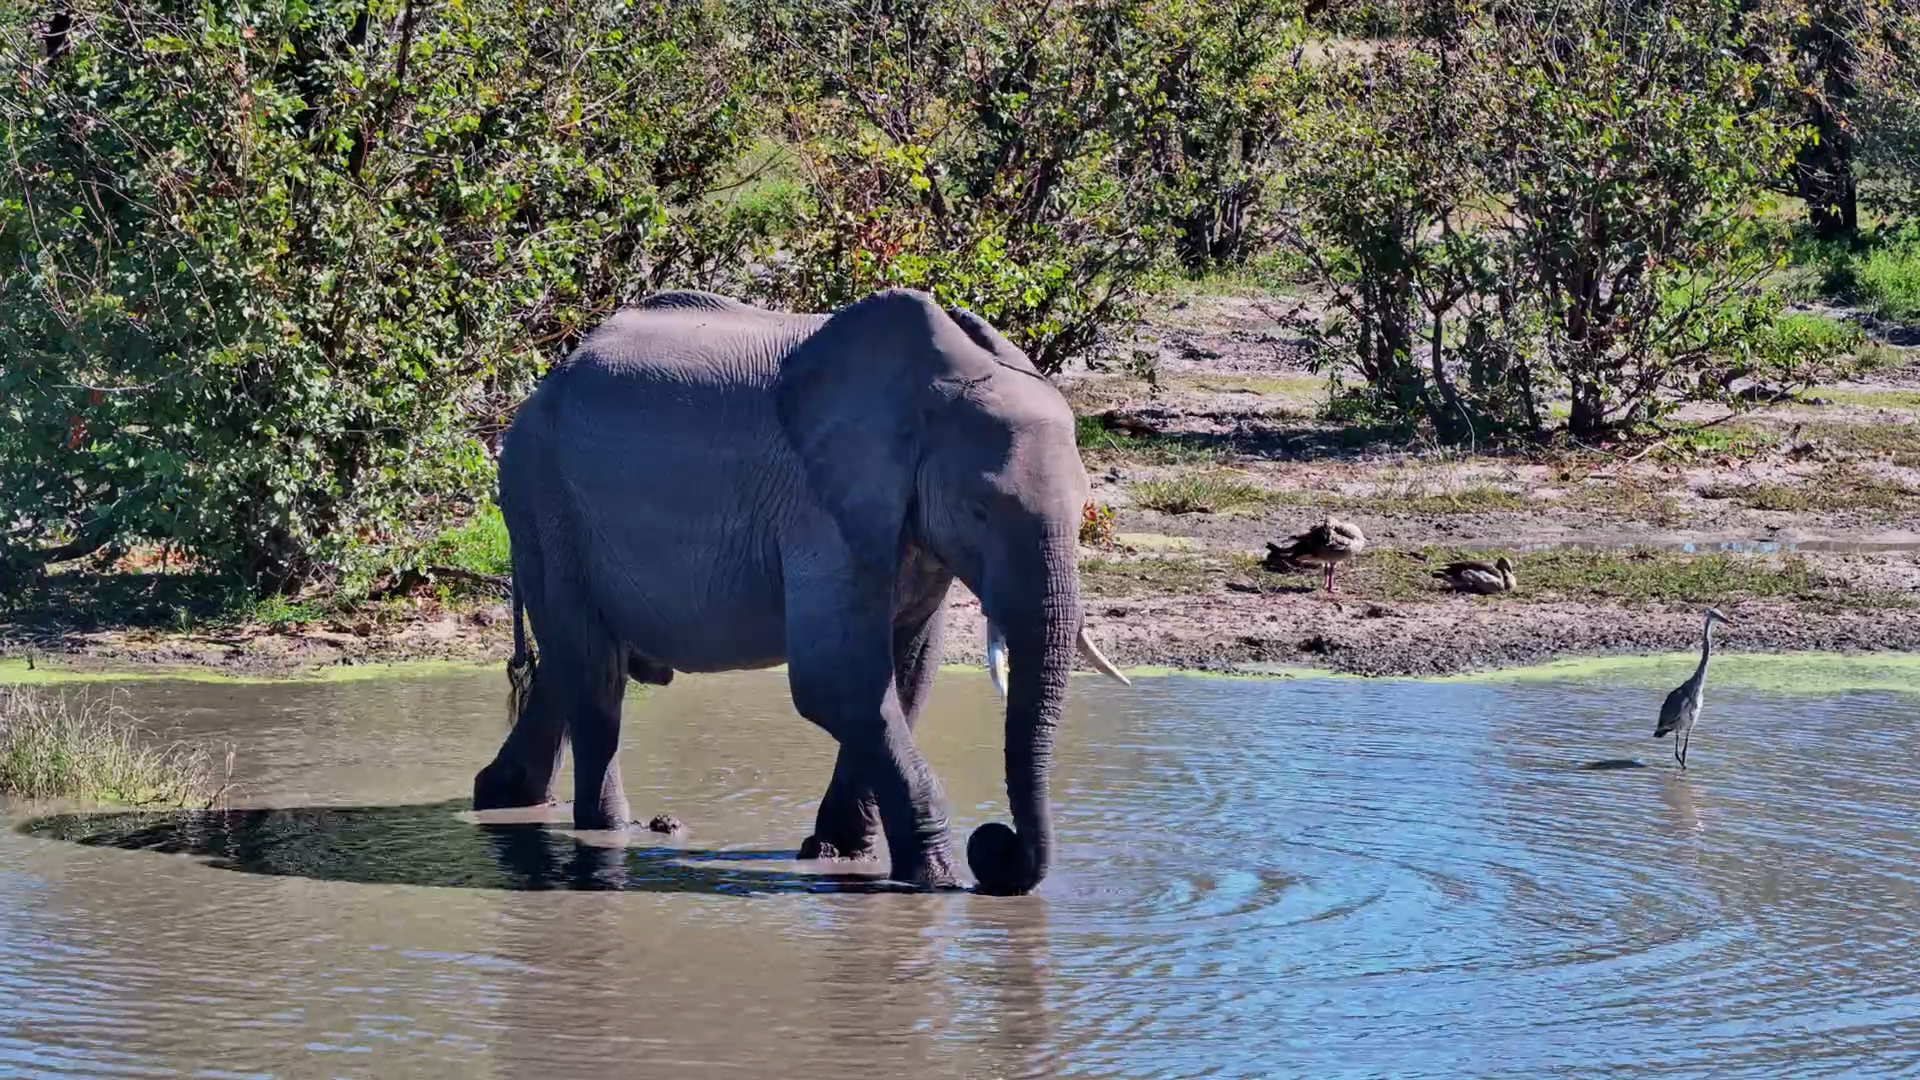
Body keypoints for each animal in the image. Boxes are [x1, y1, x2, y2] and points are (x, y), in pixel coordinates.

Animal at [470, 287, 1129, 895]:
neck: (927, 391)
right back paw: (606, 838)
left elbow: (906, 675)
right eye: (979, 510)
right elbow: (836, 682)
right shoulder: (819, 510)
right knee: (595, 676)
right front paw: (936, 880)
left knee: (570, 667)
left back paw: (504, 799)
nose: (994, 846)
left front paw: (838, 853)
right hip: (544, 502)